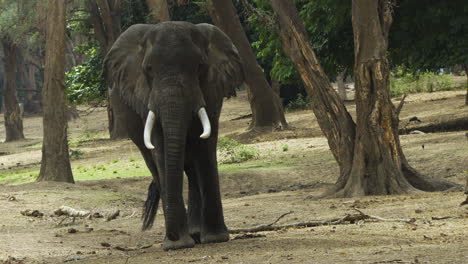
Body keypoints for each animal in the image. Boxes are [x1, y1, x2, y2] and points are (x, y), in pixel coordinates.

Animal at [104, 21, 245, 251]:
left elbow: (205, 147)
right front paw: (177, 245)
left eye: (200, 67)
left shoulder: (211, 90)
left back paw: (195, 233)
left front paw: (215, 238)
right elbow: (161, 148)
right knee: (155, 164)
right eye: (148, 69)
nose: (172, 235)